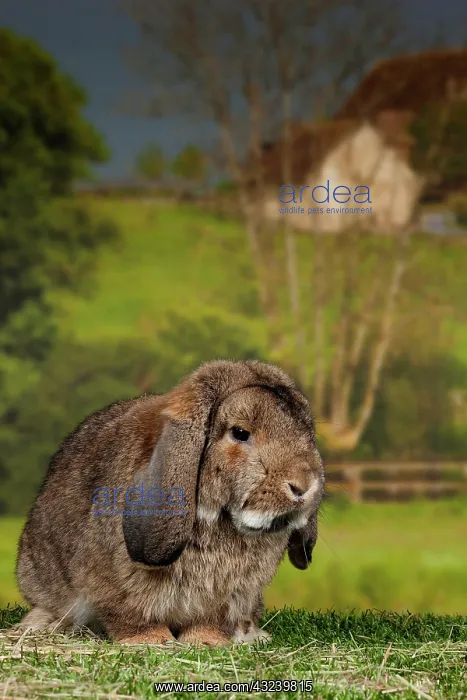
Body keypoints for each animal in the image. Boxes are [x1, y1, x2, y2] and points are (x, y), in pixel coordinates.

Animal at [16, 359, 324, 646]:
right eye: (240, 432)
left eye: (306, 432)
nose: (304, 485)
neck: (222, 520)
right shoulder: (118, 585)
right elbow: (130, 614)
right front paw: (151, 640)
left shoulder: (228, 597)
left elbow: (211, 620)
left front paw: (207, 641)